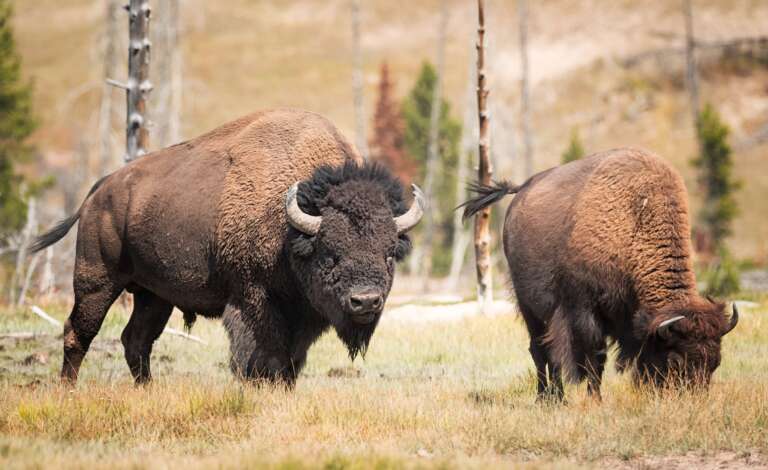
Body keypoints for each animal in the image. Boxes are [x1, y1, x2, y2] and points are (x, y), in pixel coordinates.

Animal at [31, 109, 426, 386]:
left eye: (389, 254)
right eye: (331, 254)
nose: (366, 302)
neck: (292, 232)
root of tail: (100, 191)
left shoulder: (302, 316)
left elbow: (292, 359)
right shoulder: (254, 299)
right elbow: (263, 355)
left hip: (154, 295)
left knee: (136, 340)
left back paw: (146, 390)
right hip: (96, 280)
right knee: (78, 333)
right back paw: (68, 390)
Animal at [462, 149, 736, 398]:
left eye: (716, 362)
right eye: (675, 361)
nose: (692, 400)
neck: (635, 222)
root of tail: (521, 191)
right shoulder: (587, 310)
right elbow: (596, 357)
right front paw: (595, 399)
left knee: (550, 351)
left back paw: (556, 397)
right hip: (528, 306)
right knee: (539, 351)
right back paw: (547, 398)